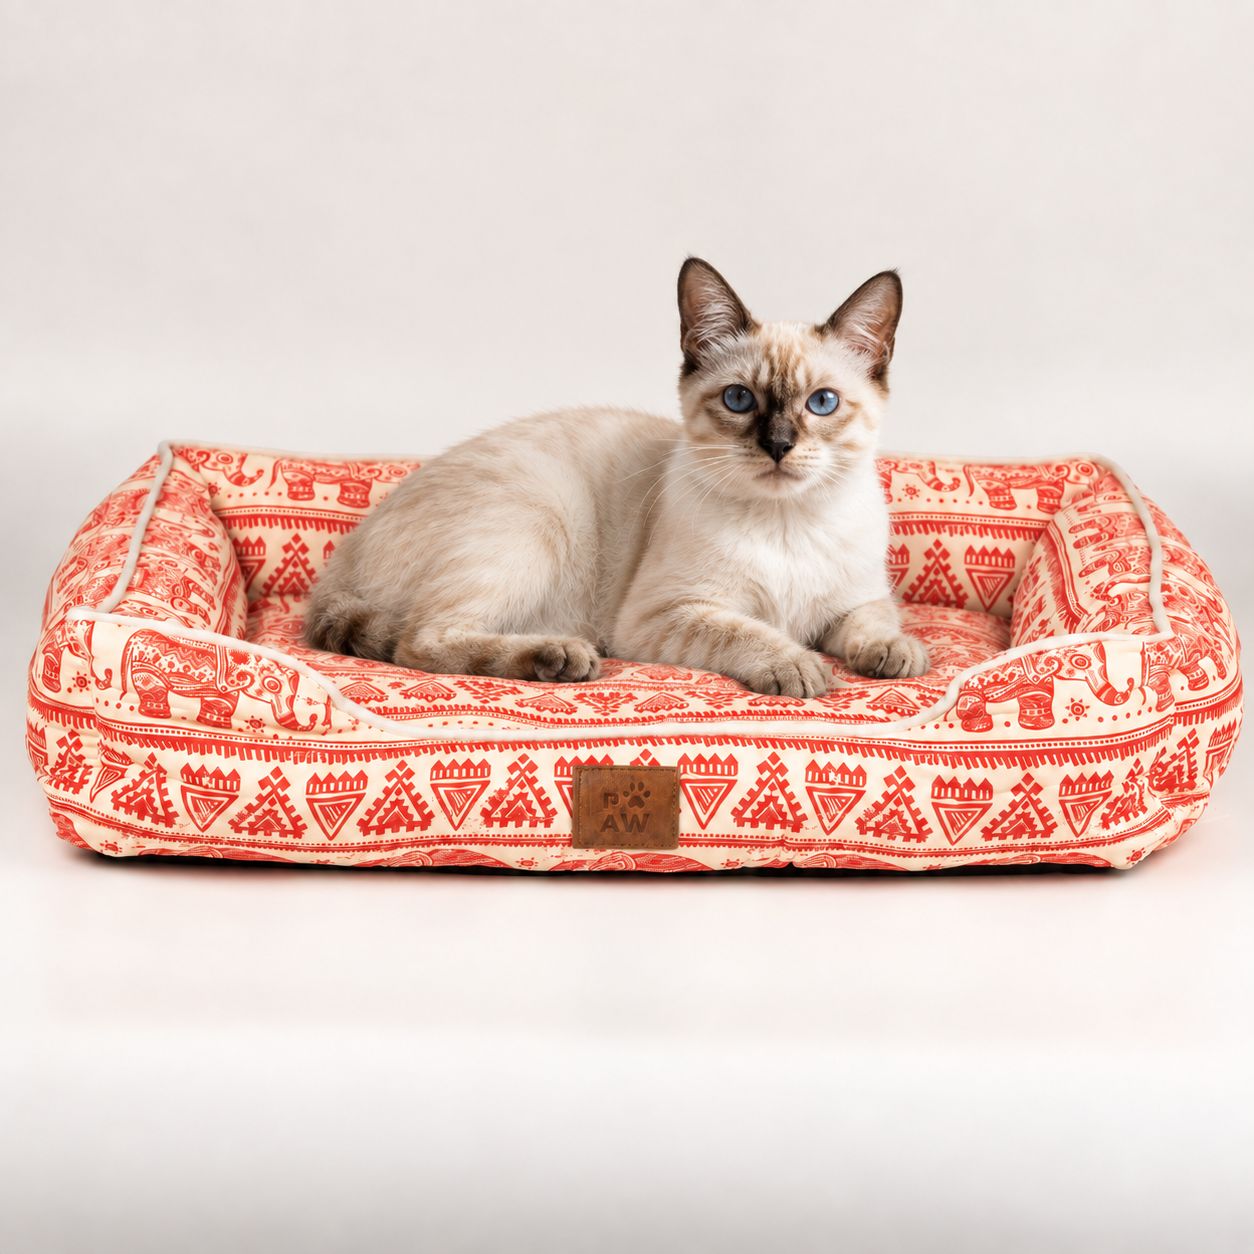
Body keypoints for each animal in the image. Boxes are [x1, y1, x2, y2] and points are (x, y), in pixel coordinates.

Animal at [120, 629, 314, 730]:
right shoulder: (223, 682)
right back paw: (157, 714)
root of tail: (135, 636)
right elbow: (221, 703)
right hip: (147, 670)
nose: (312, 717)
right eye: (272, 685)